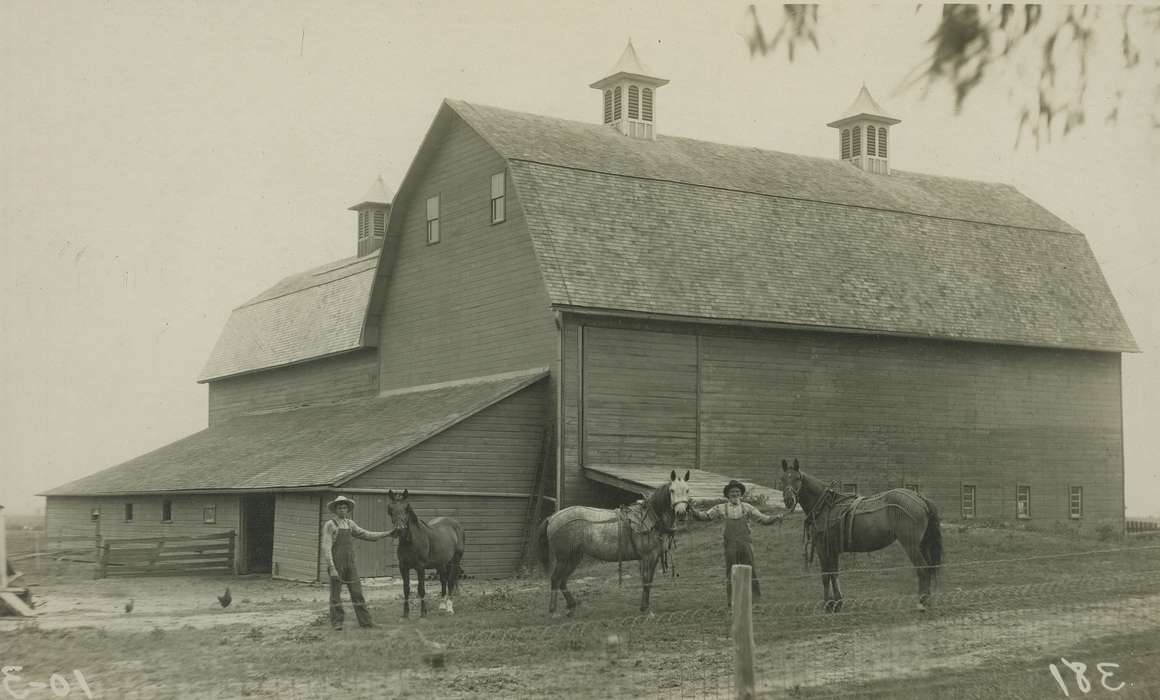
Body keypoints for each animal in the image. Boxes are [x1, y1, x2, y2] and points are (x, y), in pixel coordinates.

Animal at [387, 487, 464, 617]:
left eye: (406, 508)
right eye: (390, 509)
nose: (399, 530)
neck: (410, 541)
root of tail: (456, 524)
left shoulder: (420, 567)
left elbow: (421, 589)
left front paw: (423, 613)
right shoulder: (403, 567)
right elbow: (406, 589)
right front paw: (405, 614)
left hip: (455, 561)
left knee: (450, 581)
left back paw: (449, 608)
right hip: (441, 563)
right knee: (443, 580)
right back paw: (442, 605)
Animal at [538, 468, 691, 617]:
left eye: (687, 490)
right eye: (672, 490)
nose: (681, 513)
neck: (651, 519)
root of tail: (552, 517)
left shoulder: (654, 557)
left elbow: (649, 581)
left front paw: (646, 607)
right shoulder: (648, 557)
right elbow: (646, 581)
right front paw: (645, 609)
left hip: (574, 557)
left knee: (562, 580)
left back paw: (571, 607)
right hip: (564, 558)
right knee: (556, 579)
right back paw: (553, 611)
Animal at [779, 457, 941, 612]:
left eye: (797, 478)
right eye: (782, 479)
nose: (789, 500)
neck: (825, 506)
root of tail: (920, 499)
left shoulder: (822, 548)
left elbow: (825, 575)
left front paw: (828, 604)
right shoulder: (833, 550)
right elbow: (834, 574)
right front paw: (837, 603)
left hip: (911, 545)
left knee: (923, 570)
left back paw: (922, 603)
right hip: (922, 545)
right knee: (928, 569)